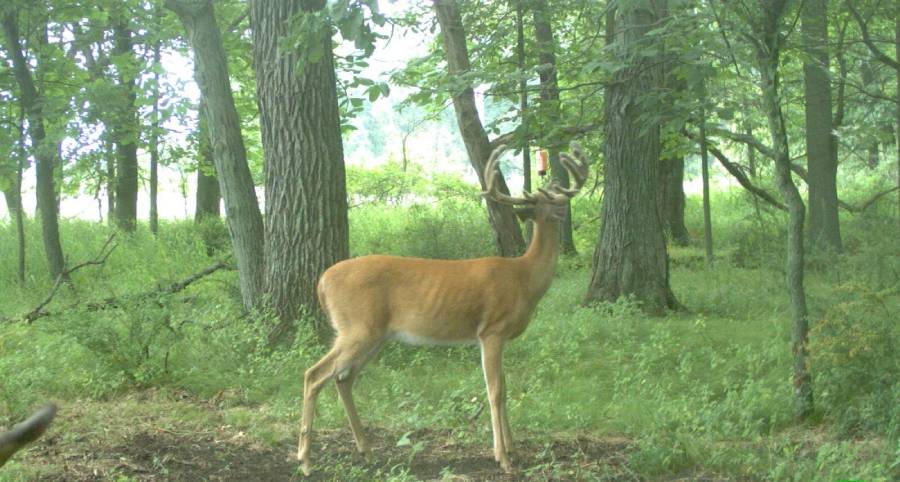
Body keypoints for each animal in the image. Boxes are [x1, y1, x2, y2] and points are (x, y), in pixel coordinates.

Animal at [297, 142, 590, 475]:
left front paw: (513, 448)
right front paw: (502, 457)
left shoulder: (497, 337)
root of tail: (322, 283)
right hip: (357, 328)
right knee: (314, 375)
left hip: (375, 336)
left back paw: (366, 451)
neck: (524, 277)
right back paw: (306, 460)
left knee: (343, 378)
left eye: (557, 195)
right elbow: (495, 391)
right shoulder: (492, 330)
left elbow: (504, 387)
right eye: (546, 200)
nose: (565, 207)